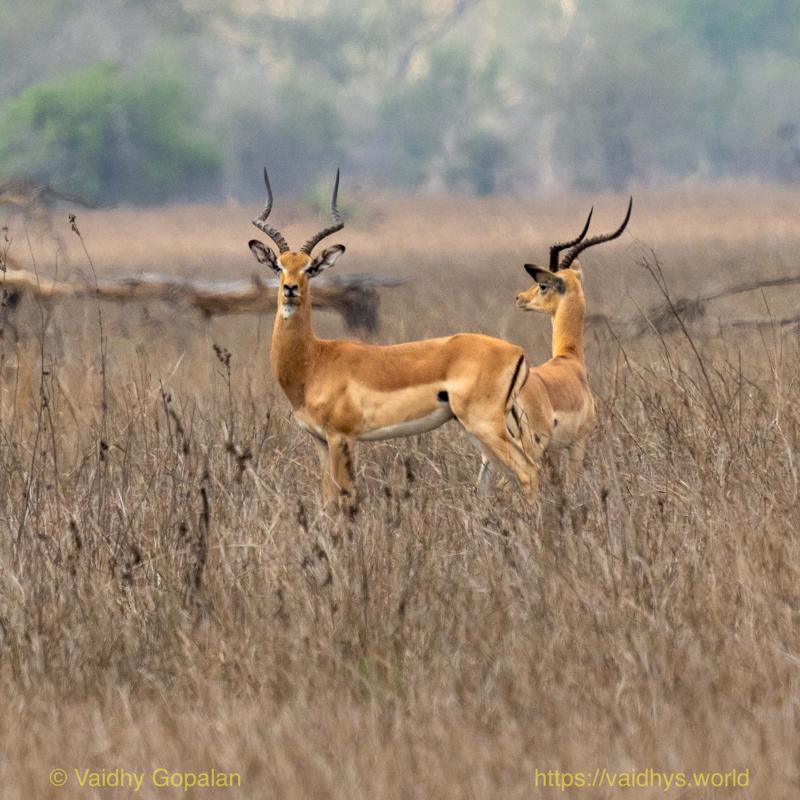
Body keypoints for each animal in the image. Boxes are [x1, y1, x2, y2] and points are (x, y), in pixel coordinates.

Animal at [247, 168, 537, 510]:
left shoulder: (341, 437)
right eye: (279, 266)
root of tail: (517, 351)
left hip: (483, 424)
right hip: (481, 428)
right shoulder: (320, 440)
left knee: (528, 471)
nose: (290, 289)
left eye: (310, 268)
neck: (314, 361)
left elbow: (345, 496)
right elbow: (328, 497)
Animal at [477, 199, 632, 499]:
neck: (570, 361)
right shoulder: (576, 443)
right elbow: (570, 485)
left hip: (490, 452)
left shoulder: (557, 450)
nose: (519, 298)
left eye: (542, 285)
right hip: (529, 449)